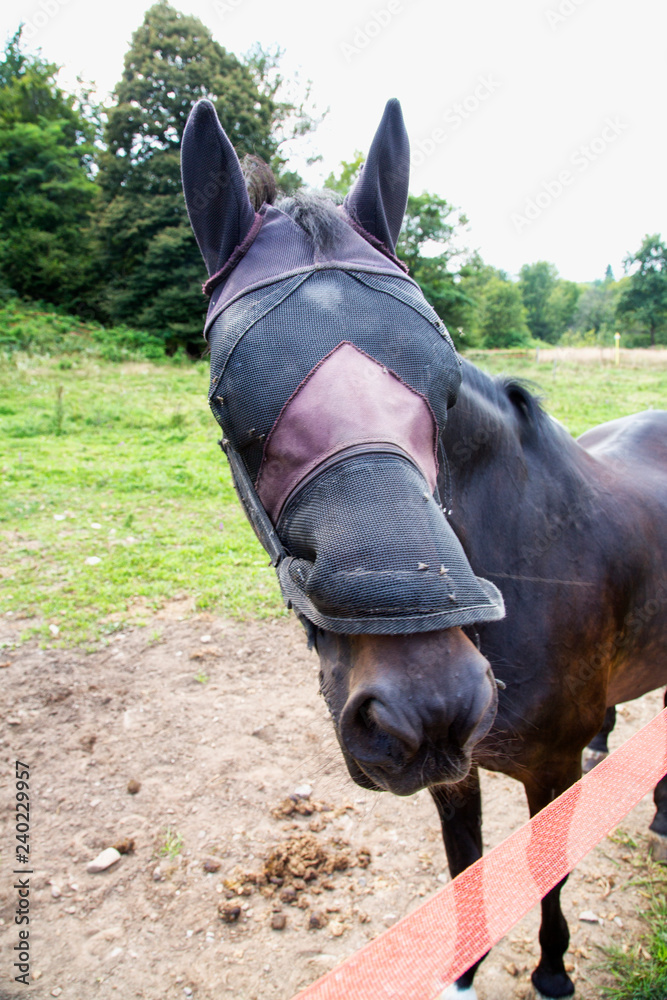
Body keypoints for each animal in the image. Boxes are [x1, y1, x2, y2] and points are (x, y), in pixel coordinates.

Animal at [181, 98, 667, 999]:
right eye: (226, 403)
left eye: (442, 388)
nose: (427, 704)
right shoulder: (458, 770)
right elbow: (464, 868)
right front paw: (463, 973)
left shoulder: (546, 775)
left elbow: (544, 876)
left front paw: (552, 969)